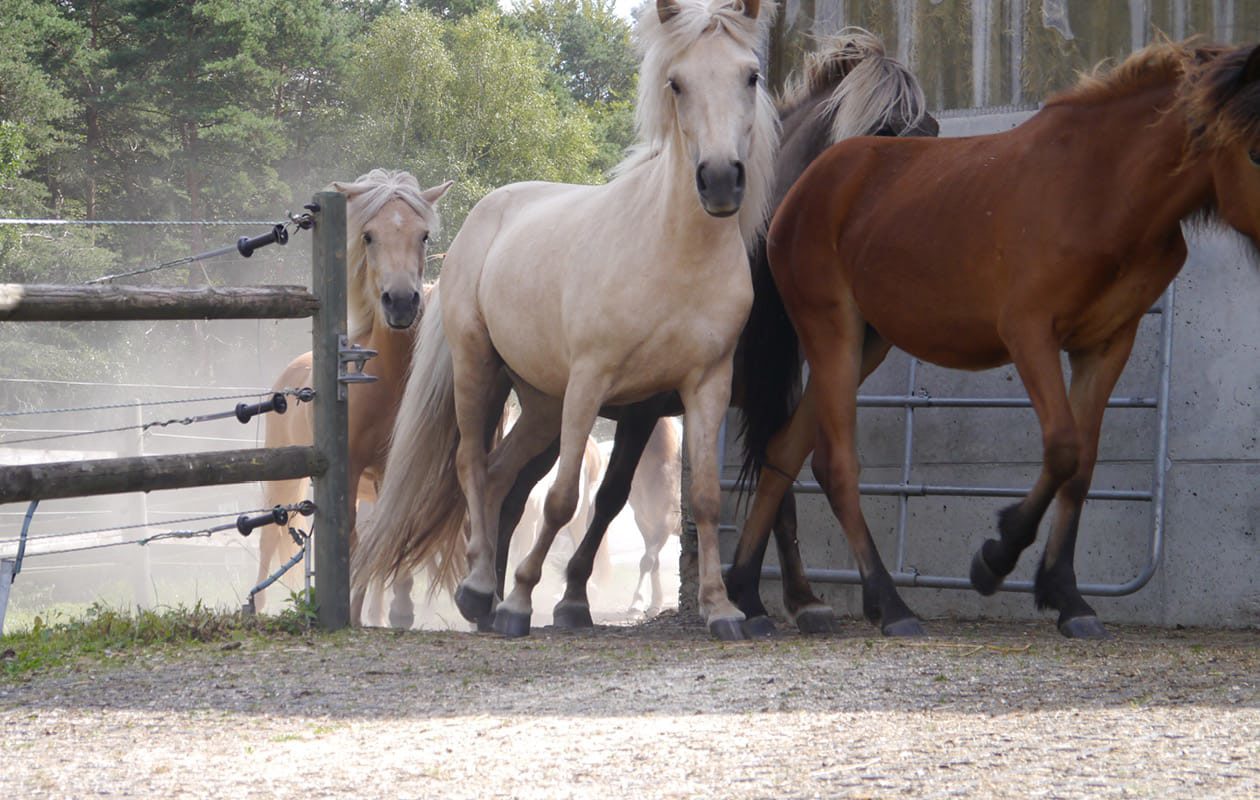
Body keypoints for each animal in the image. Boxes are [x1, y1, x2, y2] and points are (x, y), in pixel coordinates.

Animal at [257, 167, 453, 624]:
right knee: (266, 545)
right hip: (281, 483)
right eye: (368, 235)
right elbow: (351, 546)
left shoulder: (395, 475)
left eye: (423, 236)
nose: (401, 302)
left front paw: (392, 612)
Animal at [355, 0, 776, 642]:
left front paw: (722, 609)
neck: (673, 255)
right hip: (482, 369)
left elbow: (702, 497)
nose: (722, 179)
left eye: (750, 76)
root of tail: (483, 214)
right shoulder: (591, 384)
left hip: (541, 404)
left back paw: (482, 597)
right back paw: (482, 590)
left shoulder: (704, 386)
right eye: (676, 83)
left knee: (500, 476)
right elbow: (563, 501)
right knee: (472, 464)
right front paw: (526, 601)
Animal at [498, 28, 937, 634]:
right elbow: (611, 494)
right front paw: (573, 598)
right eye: (883, 142)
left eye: (932, 133)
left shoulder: (769, 394)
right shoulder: (644, 405)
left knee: (513, 486)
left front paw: (792, 599)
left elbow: (781, 487)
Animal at [735, 37, 1260, 642]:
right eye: (1256, 153)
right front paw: (996, 558)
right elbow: (1062, 448)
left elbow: (1081, 467)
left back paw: (747, 593)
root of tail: (797, 194)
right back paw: (890, 604)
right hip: (832, 333)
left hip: (865, 343)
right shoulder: (1030, 334)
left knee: (783, 450)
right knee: (834, 465)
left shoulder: (1106, 345)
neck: (1101, 185)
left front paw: (1067, 596)